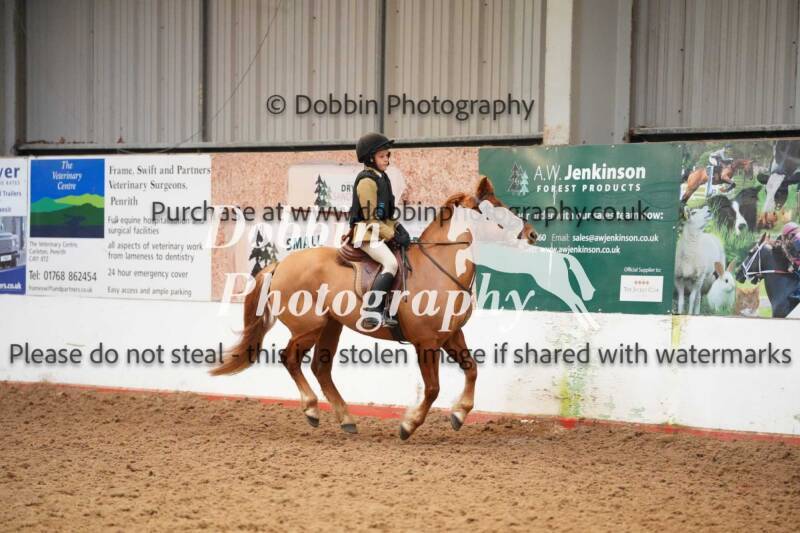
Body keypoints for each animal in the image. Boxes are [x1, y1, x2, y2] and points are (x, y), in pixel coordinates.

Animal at [210, 176, 538, 440]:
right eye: (497, 211)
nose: (532, 234)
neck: (441, 269)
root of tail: (280, 265)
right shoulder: (426, 342)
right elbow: (433, 389)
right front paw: (409, 425)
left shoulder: (451, 335)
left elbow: (472, 370)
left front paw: (458, 414)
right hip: (308, 327)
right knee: (290, 359)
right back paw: (312, 410)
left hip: (331, 326)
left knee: (321, 368)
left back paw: (346, 420)